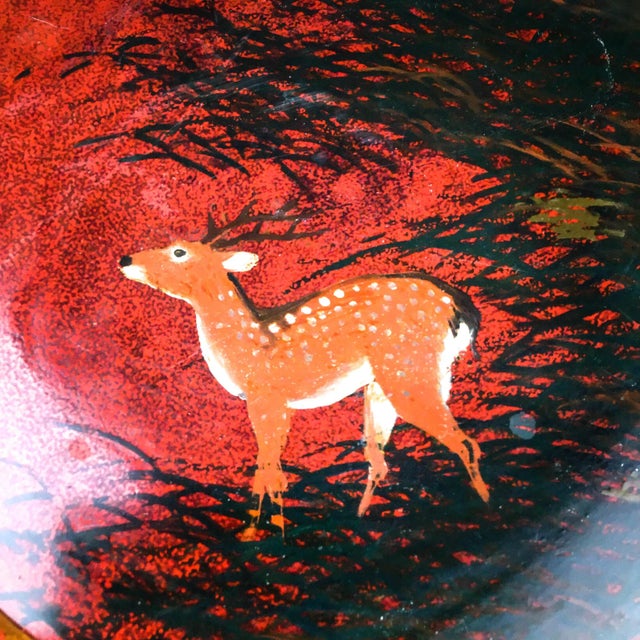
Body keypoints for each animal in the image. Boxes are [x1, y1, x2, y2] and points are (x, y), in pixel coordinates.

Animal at [119, 204, 490, 535]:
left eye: (179, 251)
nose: (125, 260)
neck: (248, 345)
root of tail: (460, 310)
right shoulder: (275, 405)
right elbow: (266, 467)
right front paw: (260, 532)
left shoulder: (266, 397)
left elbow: (270, 470)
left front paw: (266, 535)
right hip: (384, 386)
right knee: (378, 460)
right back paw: (359, 521)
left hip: (409, 371)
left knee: (465, 443)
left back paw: (484, 509)